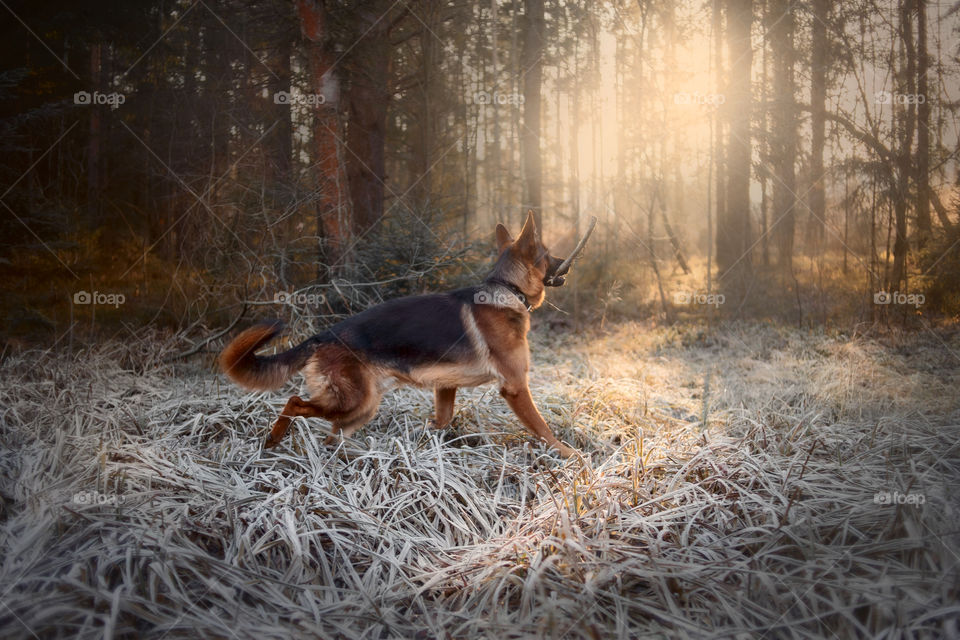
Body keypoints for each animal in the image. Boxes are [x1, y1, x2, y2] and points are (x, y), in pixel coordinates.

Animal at [218, 212, 572, 458]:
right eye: (548, 254)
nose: (567, 265)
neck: (507, 289)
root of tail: (322, 335)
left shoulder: (445, 386)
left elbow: (442, 419)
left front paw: (428, 438)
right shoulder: (515, 387)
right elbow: (542, 428)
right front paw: (568, 455)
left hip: (361, 409)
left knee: (332, 434)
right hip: (352, 401)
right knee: (294, 403)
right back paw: (274, 439)